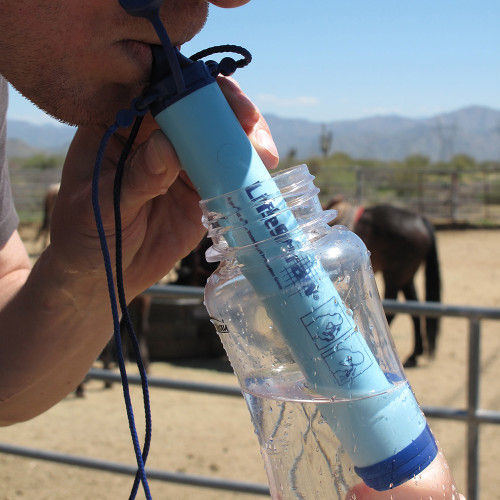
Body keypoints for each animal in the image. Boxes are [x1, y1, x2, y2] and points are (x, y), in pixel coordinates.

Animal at [324, 196, 442, 368]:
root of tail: (420, 220)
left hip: (394, 276)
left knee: (392, 312)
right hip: (406, 277)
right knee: (414, 309)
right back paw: (413, 355)